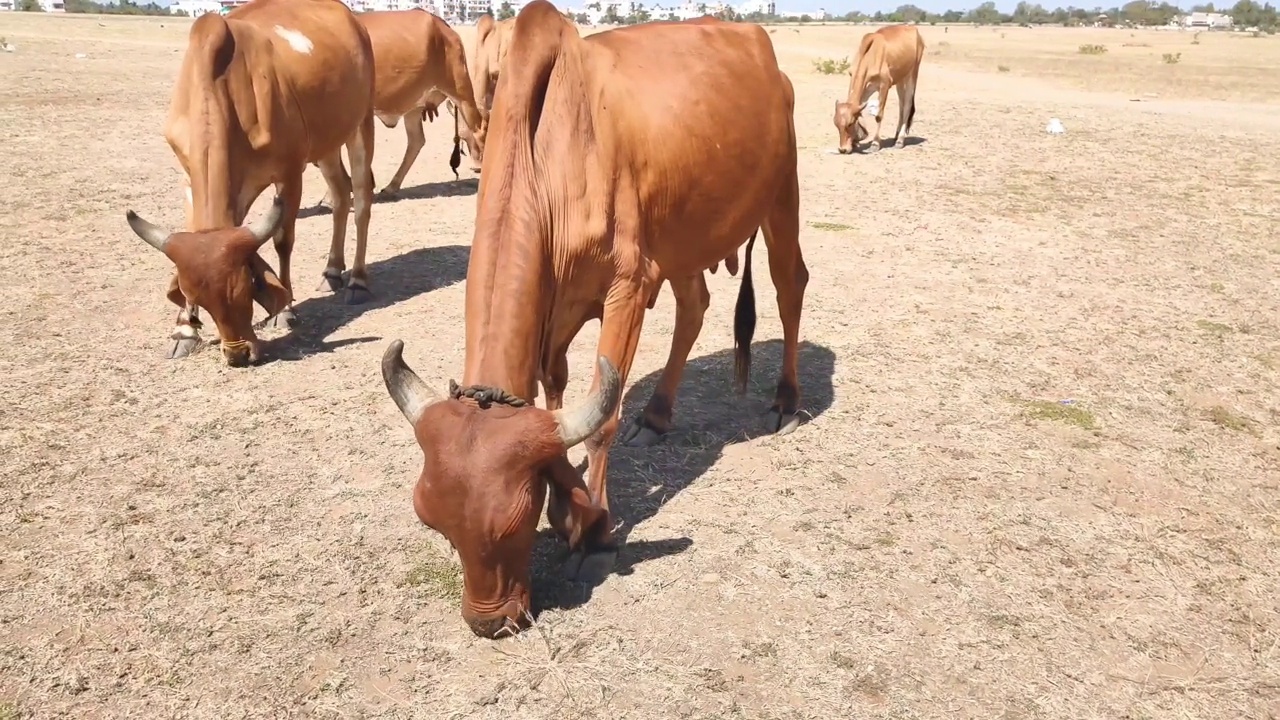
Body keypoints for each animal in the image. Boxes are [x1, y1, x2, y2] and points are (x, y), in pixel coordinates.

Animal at [122, 0, 376, 363]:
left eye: (245, 290)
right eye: (197, 298)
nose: (238, 353)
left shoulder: (289, 172)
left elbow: (283, 240)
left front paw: (285, 310)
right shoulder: (190, 176)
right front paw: (184, 329)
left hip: (361, 122)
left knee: (362, 199)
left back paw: (356, 280)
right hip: (327, 141)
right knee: (341, 194)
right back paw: (331, 271)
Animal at [373, 2, 803, 635]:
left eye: (515, 523)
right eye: (432, 518)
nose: (491, 622)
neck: (550, 158)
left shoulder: (628, 285)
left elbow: (600, 420)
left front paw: (595, 529)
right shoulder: (562, 307)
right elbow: (555, 391)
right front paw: (569, 503)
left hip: (781, 196)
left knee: (790, 284)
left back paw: (786, 401)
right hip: (680, 239)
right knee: (694, 306)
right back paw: (657, 415)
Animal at [834, 24, 926, 152]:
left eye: (850, 123)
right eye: (836, 124)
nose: (843, 149)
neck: (871, 55)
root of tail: (914, 29)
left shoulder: (884, 85)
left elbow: (878, 115)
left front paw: (875, 143)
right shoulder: (866, 88)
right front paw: (856, 141)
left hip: (912, 73)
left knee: (907, 105)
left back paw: (900, 140)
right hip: (900, 79)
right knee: (901, 105)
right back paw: (896, 135)